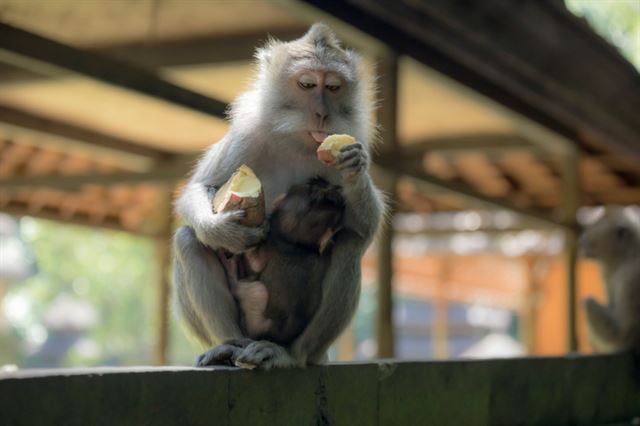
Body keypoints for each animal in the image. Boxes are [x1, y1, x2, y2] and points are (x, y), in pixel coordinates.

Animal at [171, 24, 384, 370]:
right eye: (308, 84)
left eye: (333, 87)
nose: (322, 113)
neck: (298, 138)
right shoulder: (246, 136)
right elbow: (201, 187)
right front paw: (222, 231)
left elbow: (366, 226)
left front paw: (355, 166)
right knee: (188, 240)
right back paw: (229, 345)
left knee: (351, 245)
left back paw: (290, 356)